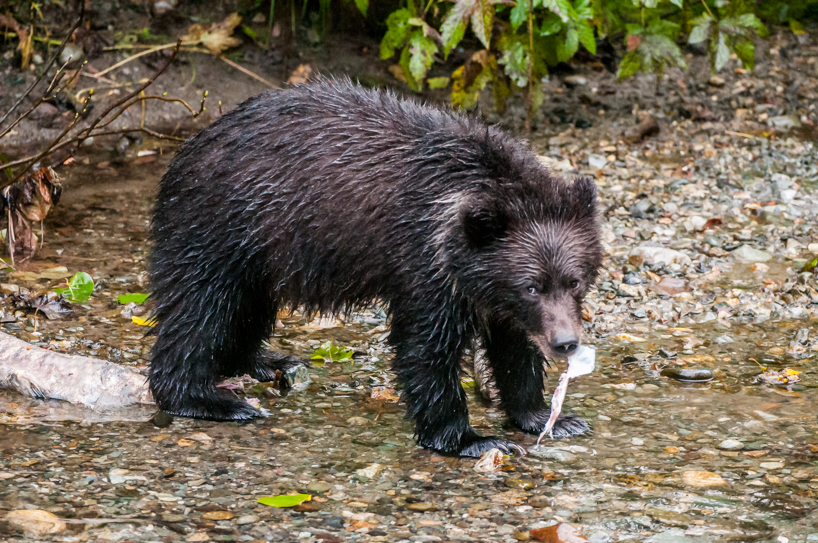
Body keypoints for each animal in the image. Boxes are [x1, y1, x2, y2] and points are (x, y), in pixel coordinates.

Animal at [148, 78, 603, 457]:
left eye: (574, 281)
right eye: (531, 286)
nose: (565, 343)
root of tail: (187, 148)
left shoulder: (491, 293)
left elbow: (514, 349)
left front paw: (551, 418)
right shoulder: (423, 262)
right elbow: (426, 348)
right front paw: (470, 438)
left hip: (259, 255)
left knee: (248, 307)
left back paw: (268, 361)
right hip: (221, 228)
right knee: (201, 311)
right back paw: (210, 399)